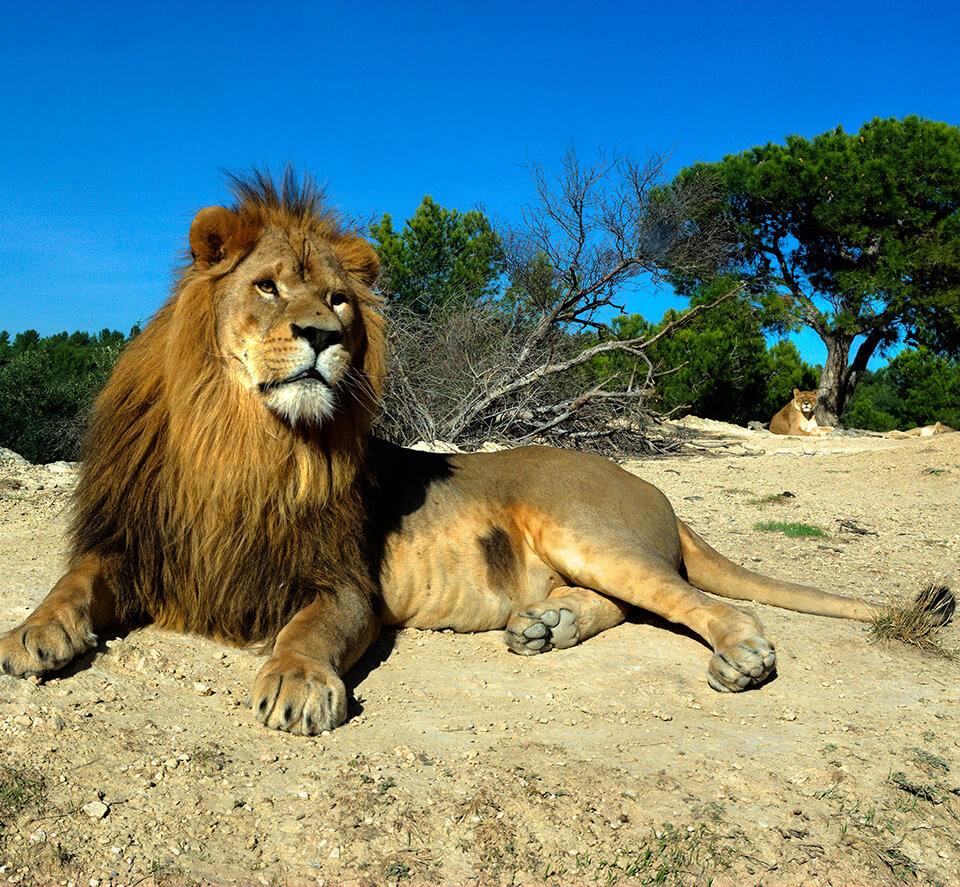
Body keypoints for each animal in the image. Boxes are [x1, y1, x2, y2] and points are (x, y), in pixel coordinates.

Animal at [1, 172, 952, 736]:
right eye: (268, 287)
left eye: (338, 301)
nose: (321, 336)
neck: (246, 442)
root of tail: (652, 487)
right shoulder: (143, 541)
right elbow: (72, 579)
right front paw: (32, 633)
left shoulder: (342, 581)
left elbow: (309, 629)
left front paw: (297, 683)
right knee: (630, 604)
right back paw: (544, 625)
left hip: (585, 527)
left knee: (700, 601)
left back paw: (740, 656)